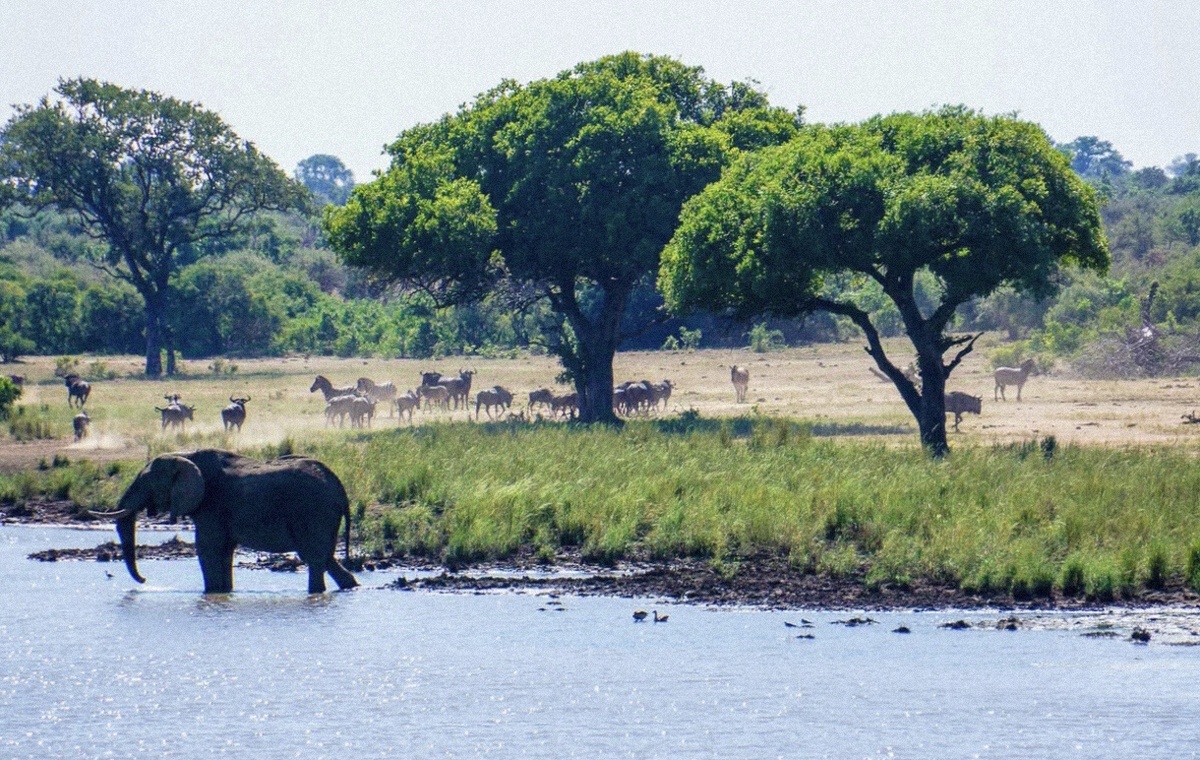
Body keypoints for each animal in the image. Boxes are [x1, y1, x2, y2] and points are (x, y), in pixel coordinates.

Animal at [110, 451, 357, 593]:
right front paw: (224, 593)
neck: (183, 455)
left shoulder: (211, 505)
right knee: (326, 558)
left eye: (145, 481)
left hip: (313, 513)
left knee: (314, 558)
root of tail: (340, 490)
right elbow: (225, 551)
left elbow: (207, 549)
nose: (144, 580)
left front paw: (211, 593)